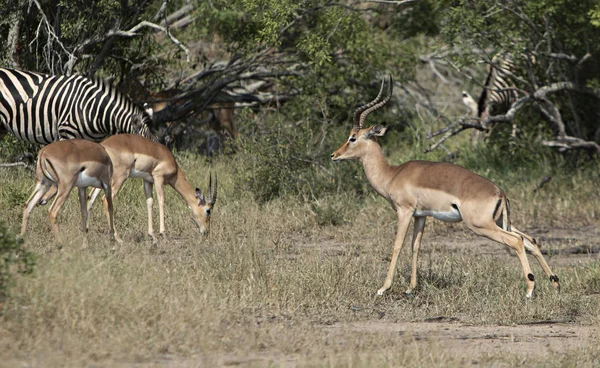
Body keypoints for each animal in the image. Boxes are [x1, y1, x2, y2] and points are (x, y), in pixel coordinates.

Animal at [84, 133, 216, 242]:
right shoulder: (158, 178)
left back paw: (86, 234)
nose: (206, 231)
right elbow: (161, 201)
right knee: (105, 200)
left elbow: (150, 202)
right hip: (119, 177)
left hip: (104, 180)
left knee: (90, 198)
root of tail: (103, 145)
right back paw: (118, 238)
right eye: (208, 210)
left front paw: (152, 235)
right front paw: (163, 234)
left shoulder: (148, 181)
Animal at [330, 76, 560, 298]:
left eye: (352, 138)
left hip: (481, 225)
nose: (334, 155)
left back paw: (530, 290)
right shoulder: (420, 215)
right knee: (530, 240)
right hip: (500, 222)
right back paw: (555, 283)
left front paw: (383, 288)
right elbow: (415, 246)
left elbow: (397, 245)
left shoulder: (404, 211)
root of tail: (500, 193)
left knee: (517, 241)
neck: (392, 174)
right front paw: (410, 288)